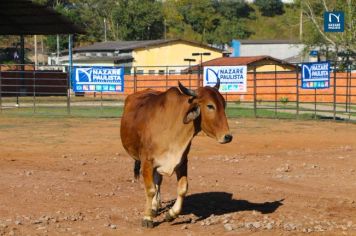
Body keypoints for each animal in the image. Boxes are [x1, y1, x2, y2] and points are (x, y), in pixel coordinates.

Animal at [121, 80, 232, 228]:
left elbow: (182, 188)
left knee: (158, 181)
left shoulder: (182, 161)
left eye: (224, 105)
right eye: (210, 106)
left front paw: (171, 214)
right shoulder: (147, 162)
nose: (228, 136)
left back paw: (156, 206)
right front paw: (147, 217)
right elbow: (150, 190)